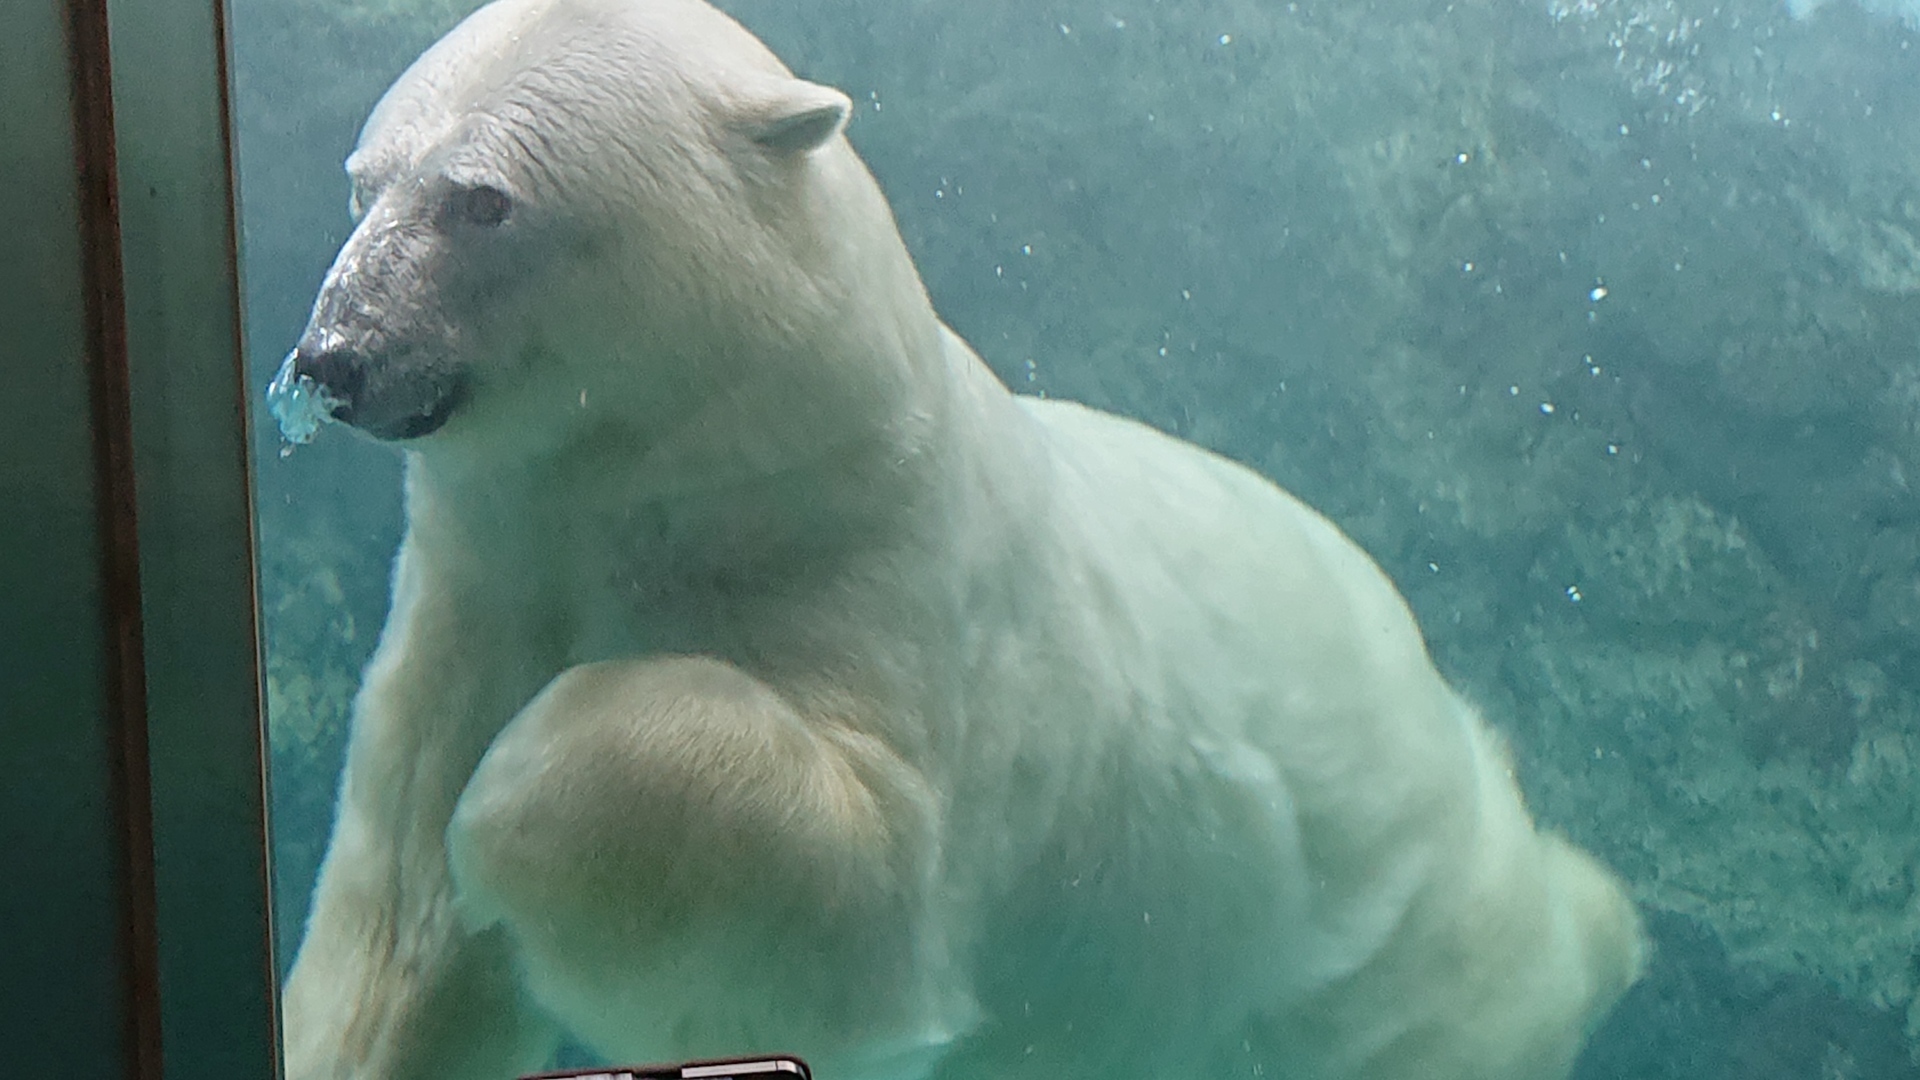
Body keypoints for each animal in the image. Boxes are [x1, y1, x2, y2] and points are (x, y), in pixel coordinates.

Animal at [274, 2, 1651, 1076]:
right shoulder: (483, 582)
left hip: (1377, 930)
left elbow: (860, 888)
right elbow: (390, 946)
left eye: (483, 199)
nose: (334, 358)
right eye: (361, 179)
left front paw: (505, 813)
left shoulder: (884, 569)